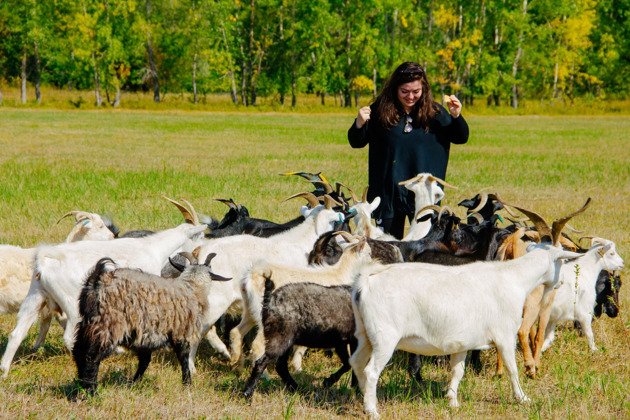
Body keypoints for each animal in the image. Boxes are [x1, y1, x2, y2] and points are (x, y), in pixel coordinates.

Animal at [354, 199, 592, 416]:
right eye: (561, 259)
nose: (561, 282)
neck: (513, 276)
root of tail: (367, 281)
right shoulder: (504, 335)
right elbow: (512, 368)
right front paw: (523, 397)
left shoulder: (461, 341)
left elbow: (457, 371)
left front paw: (452, 400)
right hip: (385, 338)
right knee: (371, 371)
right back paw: (372, 410)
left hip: (365, 336)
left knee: (357, 363)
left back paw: (363, 399)